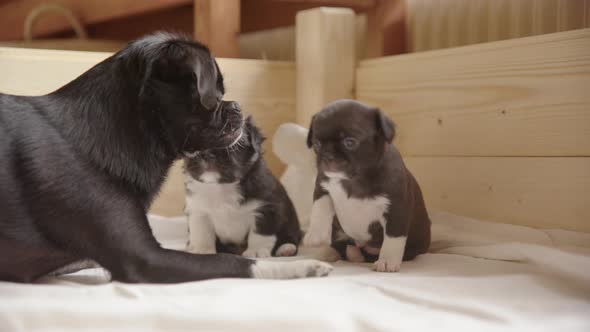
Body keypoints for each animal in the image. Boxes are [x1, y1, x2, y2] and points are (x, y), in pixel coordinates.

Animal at [185, 116, 302, 260]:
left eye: (232, 138)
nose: (207, 154)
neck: (222, 185)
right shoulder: (199, 211)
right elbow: (202, 232)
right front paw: (202, 250)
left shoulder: (266, 209)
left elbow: (259, 234)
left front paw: (256, 251)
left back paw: (286, 248)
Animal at [302, 99, 432, 272]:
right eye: (316, 144)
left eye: (350, 142)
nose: (327, 156)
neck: (354, 180)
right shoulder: (322, 188)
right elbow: (319, 210)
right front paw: (315, 234)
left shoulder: (397, 208)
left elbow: (393, 237)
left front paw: (387, 261)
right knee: (342, 245)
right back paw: (335, 252)